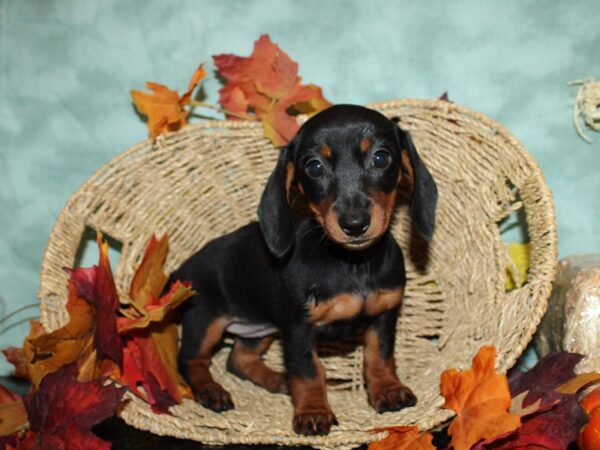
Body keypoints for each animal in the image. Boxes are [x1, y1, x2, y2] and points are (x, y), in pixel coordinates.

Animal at [171, 103, 438, 434]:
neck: (353, 265)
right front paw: (313, 411)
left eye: (381, 157)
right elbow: (309, 370)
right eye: (314, 167)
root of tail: (181, 271)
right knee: (190, 360)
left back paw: (277, 380)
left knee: (238, 359)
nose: (354, 224)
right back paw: (211, 390)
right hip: (204, 319)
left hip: (258, 328)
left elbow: (380, 356)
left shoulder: (385, 315)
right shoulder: (298, 329)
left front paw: (388, 390)